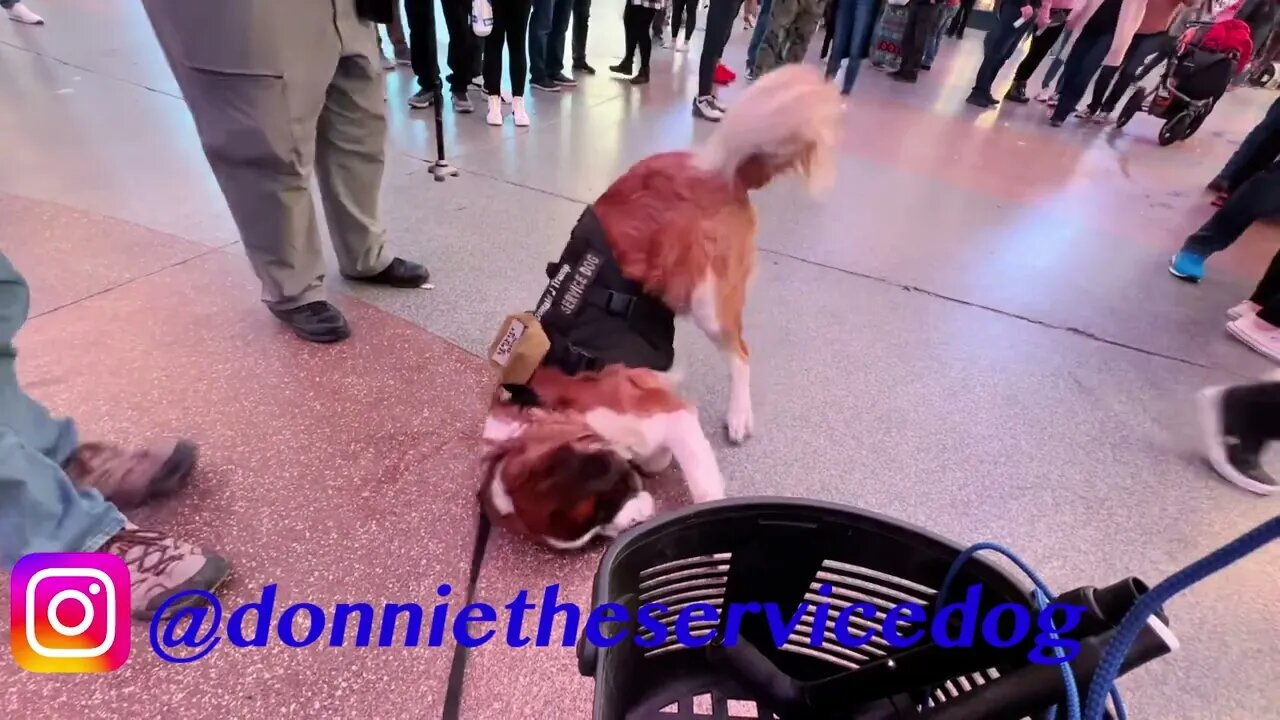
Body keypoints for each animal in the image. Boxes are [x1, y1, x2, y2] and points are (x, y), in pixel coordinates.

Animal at [476, 65, 844, 548]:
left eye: (604, 502)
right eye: (592, 534)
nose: (626, 528)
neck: (554, 404)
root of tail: (714, 166)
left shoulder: (666, 413)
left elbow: (702, 482)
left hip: (706, 299)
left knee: (740, 354)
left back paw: (738, 414)